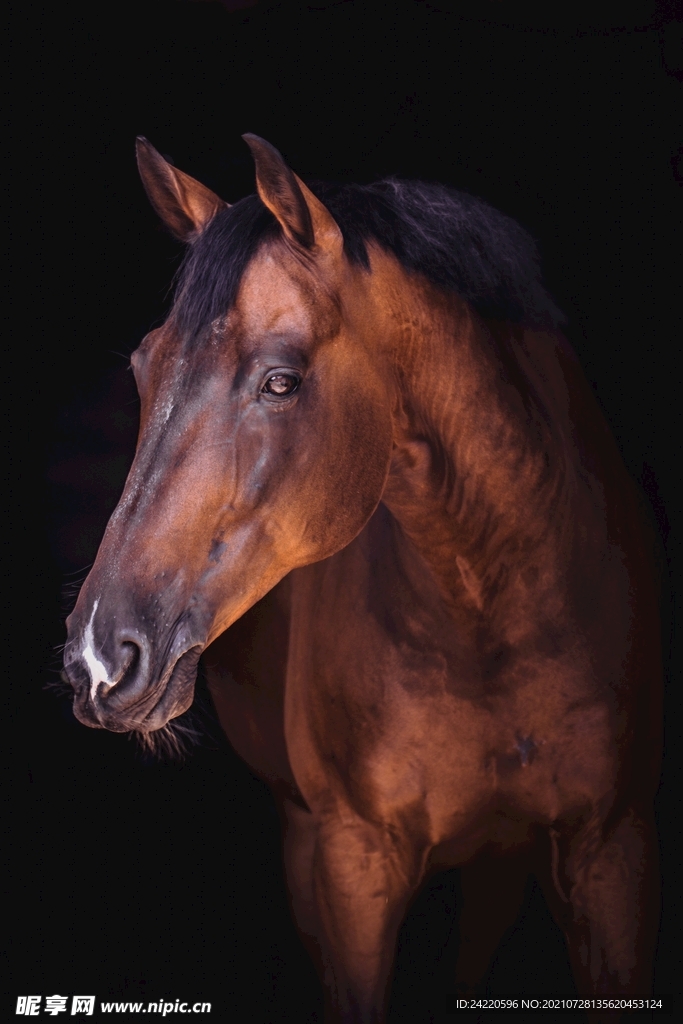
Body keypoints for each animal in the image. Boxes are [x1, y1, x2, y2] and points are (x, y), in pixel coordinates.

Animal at [63, 133, 663, 1023]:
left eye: (280, 380)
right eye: (144, 367)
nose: (101, 658)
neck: (494, 607)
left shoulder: (610, 851)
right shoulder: (352, 862)